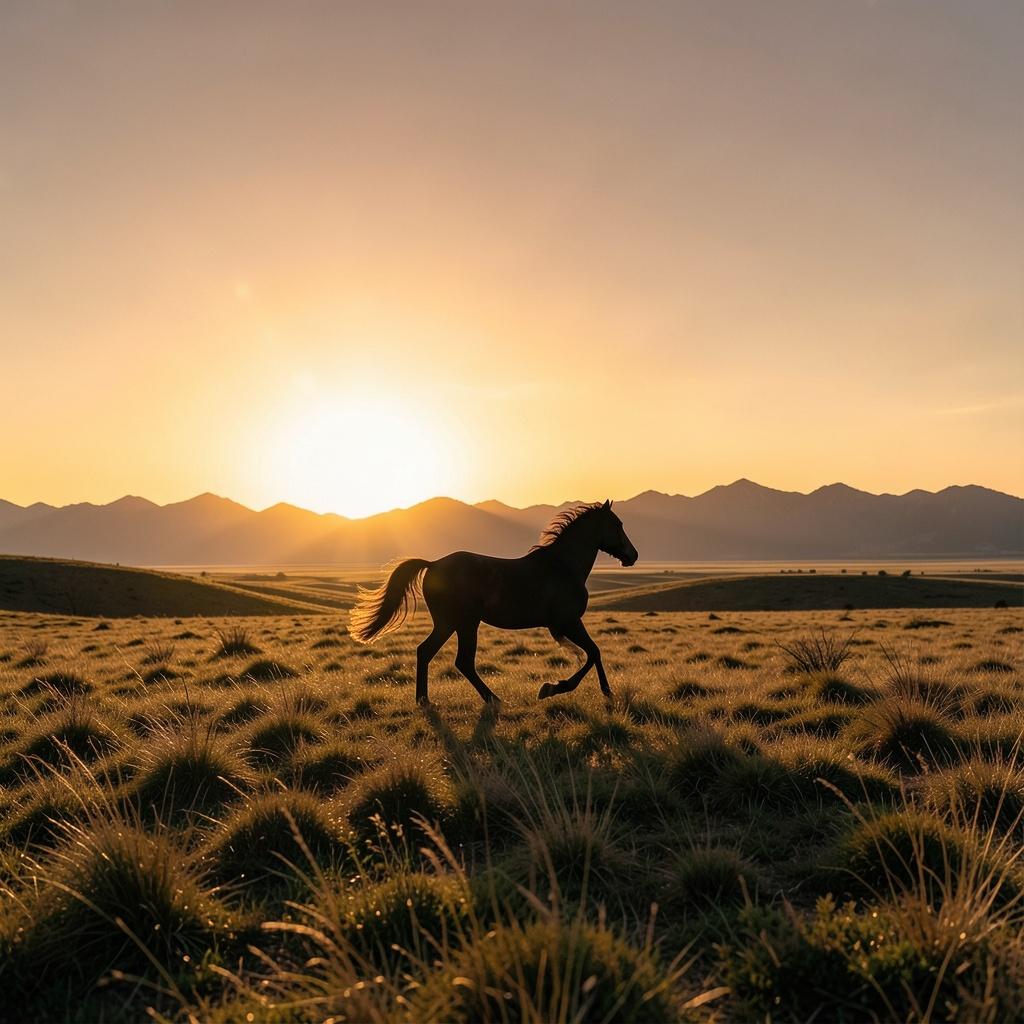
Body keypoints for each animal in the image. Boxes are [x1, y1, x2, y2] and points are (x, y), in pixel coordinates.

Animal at [348, 500, 639, 705]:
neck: (562, 567)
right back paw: (493, 699)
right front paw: (553, 688)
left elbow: (593, 652)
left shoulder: (567, 623)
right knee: (461, 661)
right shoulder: (567, 622)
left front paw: (606, 692)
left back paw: (425, 700)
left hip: (450, 624)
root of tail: (433, 565)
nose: (633, 555)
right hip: (464, 623)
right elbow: (592, 653)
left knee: (427, 652)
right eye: (617, 524)